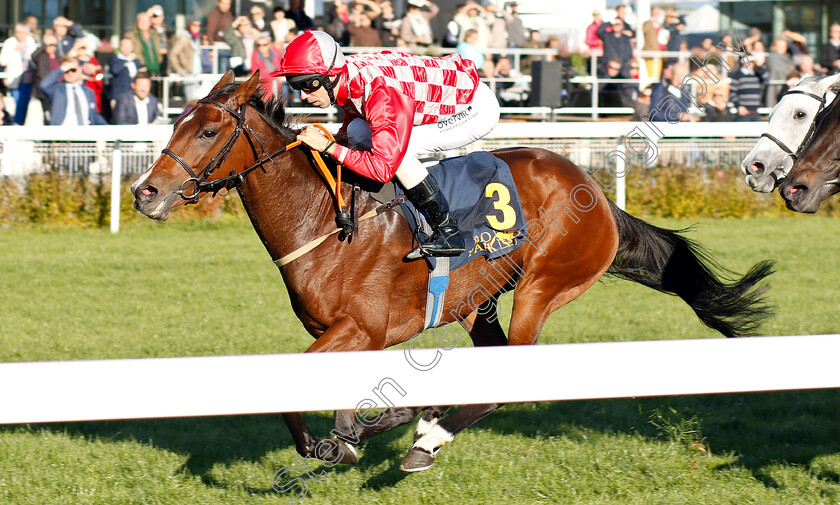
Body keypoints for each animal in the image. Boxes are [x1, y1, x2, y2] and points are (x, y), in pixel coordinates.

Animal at [133, 71, 776, 472]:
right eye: (175, 123)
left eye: (208, 130)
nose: (145, 193)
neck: (324, 220)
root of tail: (594, 190)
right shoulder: (345, 336)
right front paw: (354, 433)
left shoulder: (361, 329)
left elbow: (290, 384)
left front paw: (340, 441)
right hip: (478, 302)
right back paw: (422, 428)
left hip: (544, 283)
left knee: (511, 374)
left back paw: (428, 438)